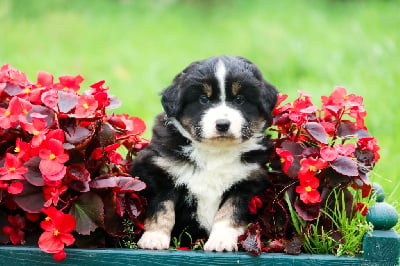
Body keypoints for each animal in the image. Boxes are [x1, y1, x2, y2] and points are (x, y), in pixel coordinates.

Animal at [131, 55, 278, 251]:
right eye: (203, 99)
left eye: (239, 99)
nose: (222, 124)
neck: (215, 152)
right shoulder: (159, 172)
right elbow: (162, 208)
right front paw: (154, 238)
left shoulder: (248, 182)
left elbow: (229, 212)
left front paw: (221, 241)